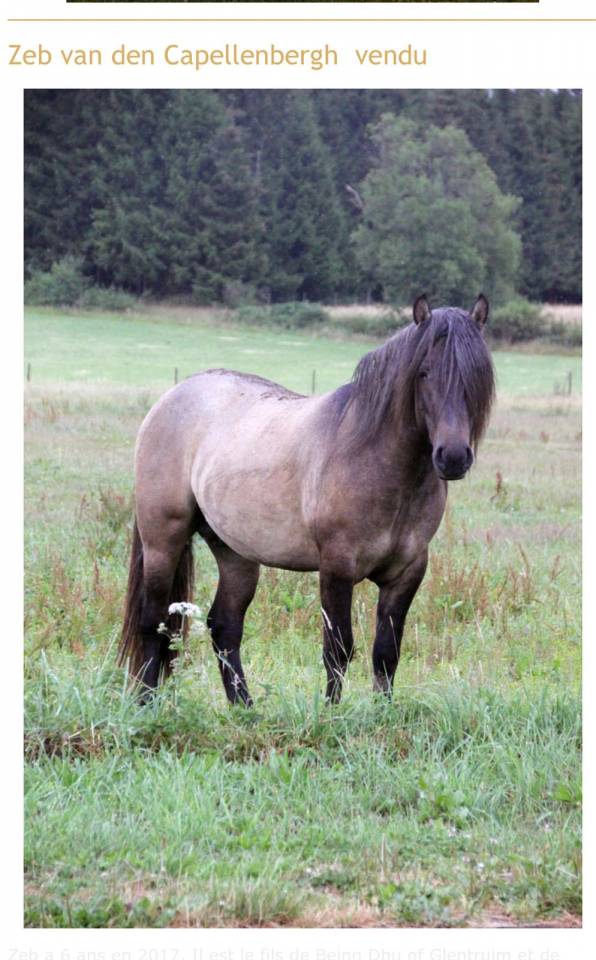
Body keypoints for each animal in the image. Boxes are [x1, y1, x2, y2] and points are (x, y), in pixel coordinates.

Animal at [119, 294, 495, 705]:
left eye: (479, 374)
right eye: (424, 372)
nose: (453, 457)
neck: (375, 459)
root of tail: (171, 397)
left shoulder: (407, 572)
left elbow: (386, 652)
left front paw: (384, 713)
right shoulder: (337, 567)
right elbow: (338, 649)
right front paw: (331, 714)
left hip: (235, 552)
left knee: (225, 627)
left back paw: (245, 711)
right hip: (163, 539)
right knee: (154, 622)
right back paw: (146, 703)